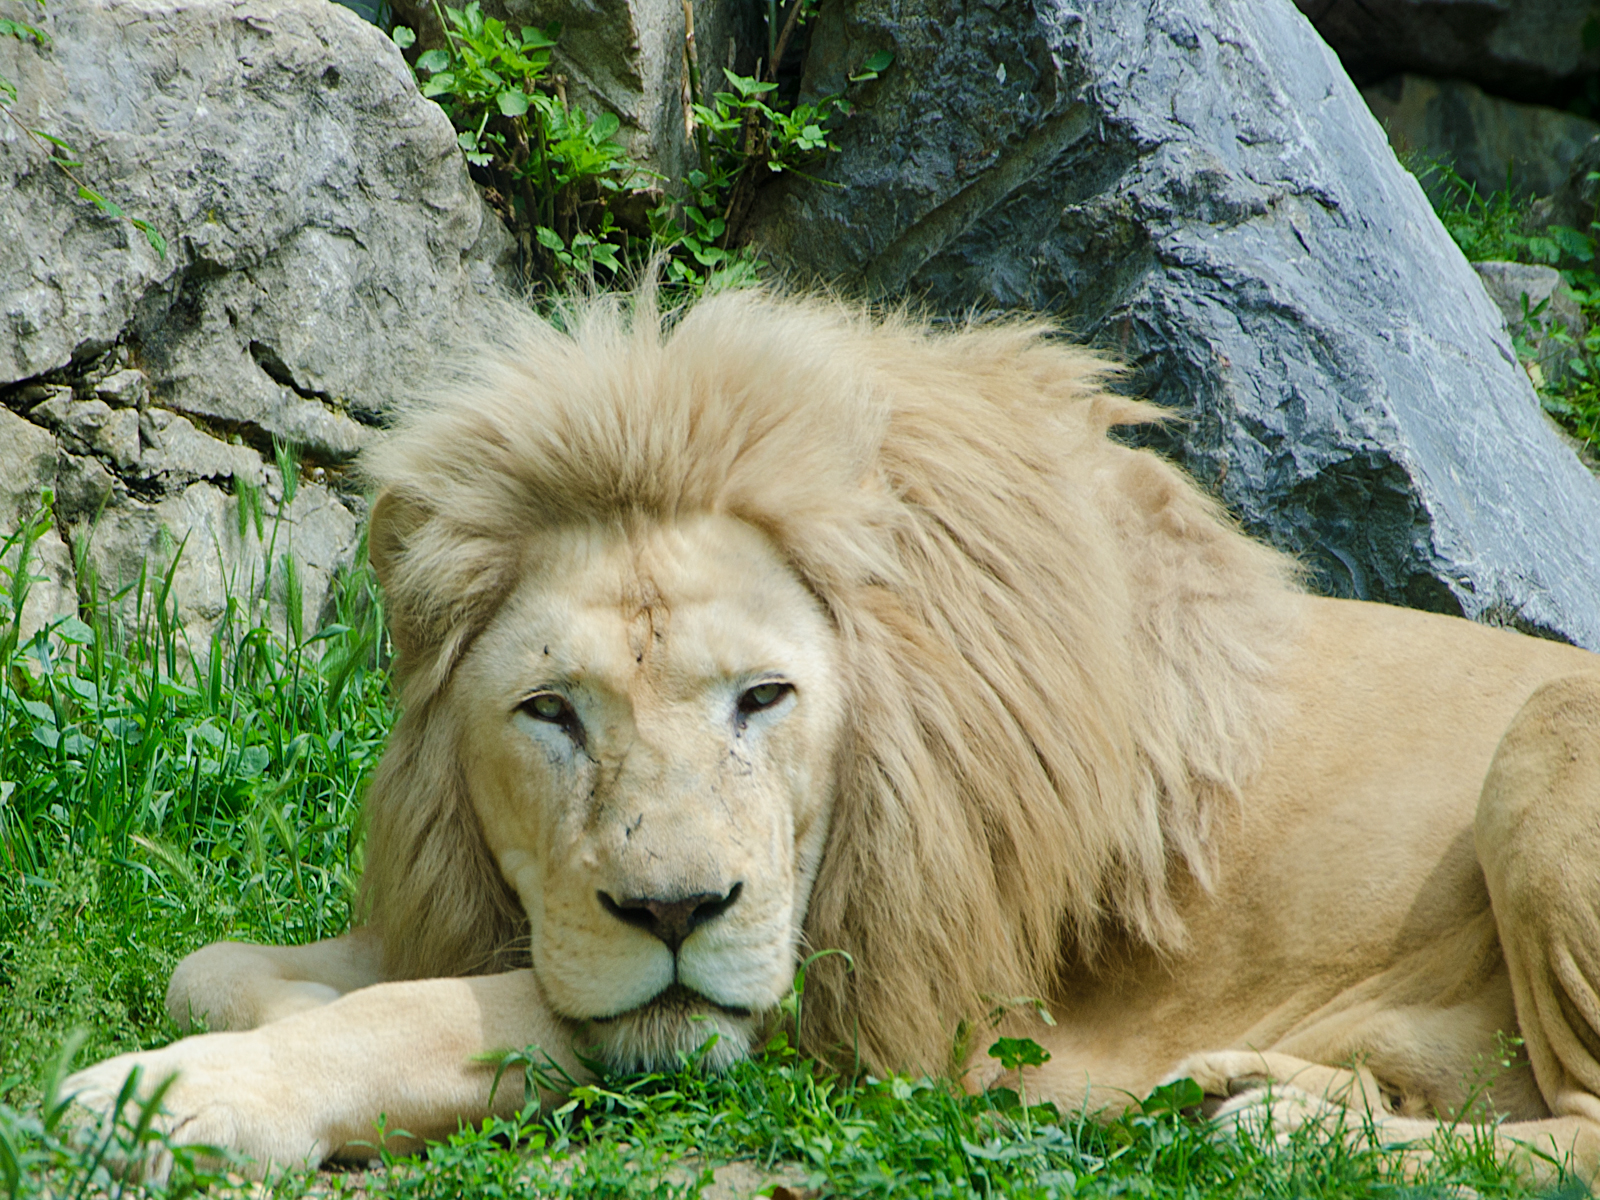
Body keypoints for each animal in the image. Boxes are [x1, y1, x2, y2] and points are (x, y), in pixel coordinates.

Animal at [63, 288, 1600, 1183]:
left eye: (763, 698)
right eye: (550, 712)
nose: (672, 910)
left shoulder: (862, 1007)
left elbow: (441, 1011)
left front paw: (173, 1104)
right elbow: (214, 966)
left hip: (1545, 739)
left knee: (1574, 1140)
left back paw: (1276, 1130)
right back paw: (1251, 1097)